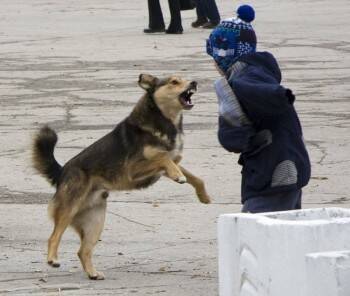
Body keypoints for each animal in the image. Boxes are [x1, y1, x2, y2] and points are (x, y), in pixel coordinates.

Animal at [32, 73, 212, 280]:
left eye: (184, 79)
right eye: (174, 82)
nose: (194, 83)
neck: (164, 120)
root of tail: (62, 172)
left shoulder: (170, 164)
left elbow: (195, 177)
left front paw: (203, 196)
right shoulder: (133, 169)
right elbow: (164, 158)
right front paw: (179, 176)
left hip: (95, 221)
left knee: (83, 251)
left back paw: (93, 273)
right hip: (69, 208)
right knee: (54, 236)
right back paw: (52, 259)